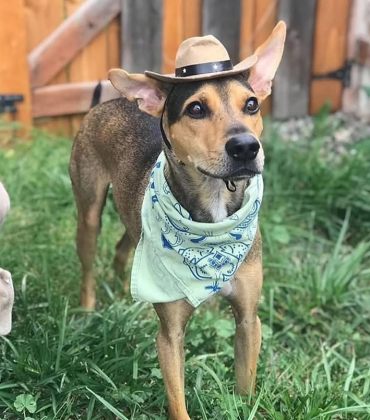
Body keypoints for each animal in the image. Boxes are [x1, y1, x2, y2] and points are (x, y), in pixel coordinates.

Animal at [71, 22, 288, 420]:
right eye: (196, 108)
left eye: (251, 104)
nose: (246, 146)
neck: (213, 223)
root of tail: (107, 102)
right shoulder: (170, 336)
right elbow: (177, 402)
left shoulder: (249, 320)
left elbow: (245, 384)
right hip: (89, 212)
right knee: (89, 264)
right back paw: (88, 310)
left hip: (133, 222)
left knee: (122, 250)